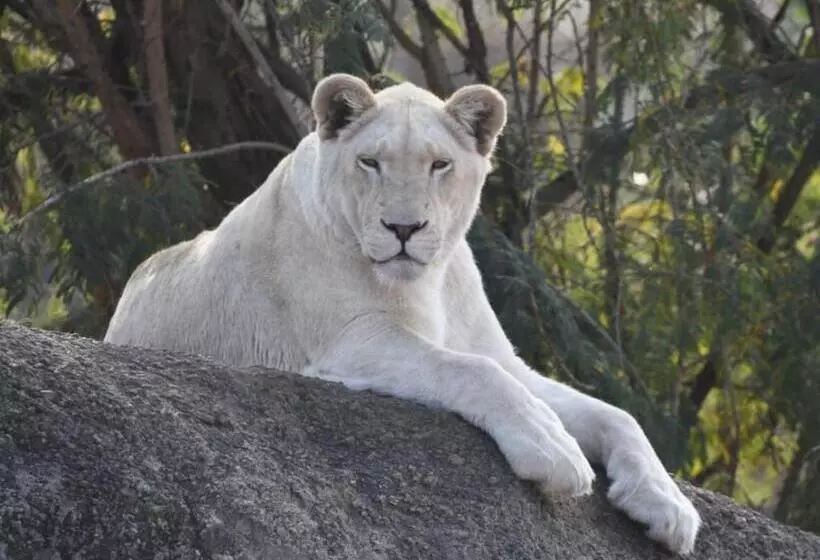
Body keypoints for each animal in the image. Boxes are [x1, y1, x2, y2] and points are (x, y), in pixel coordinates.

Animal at [104, 74, 701, 554]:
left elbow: (615, 414)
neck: (428, 283)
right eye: (370, 162)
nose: (404, 229)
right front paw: (552, 449)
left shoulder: (510, 362)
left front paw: (668, 505)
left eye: (440, 165)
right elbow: (470, 371)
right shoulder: (351, 342)